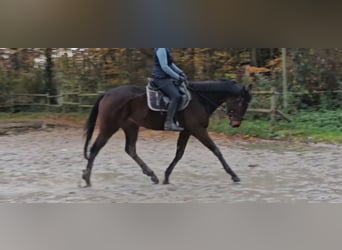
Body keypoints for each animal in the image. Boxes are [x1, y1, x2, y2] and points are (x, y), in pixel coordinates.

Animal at [83, 79, 252, 187]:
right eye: (241, 102)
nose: (236, 124)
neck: (200, 99)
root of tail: (107, 93)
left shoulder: (187, 131)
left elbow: (179, 153)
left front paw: (166, 176)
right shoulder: (197, 129)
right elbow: (216, 150)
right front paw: (234, 175)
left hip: (131, 126)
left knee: (130, 149)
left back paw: (152, 175)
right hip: (109, 127)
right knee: (95, 148)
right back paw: (87, 179)